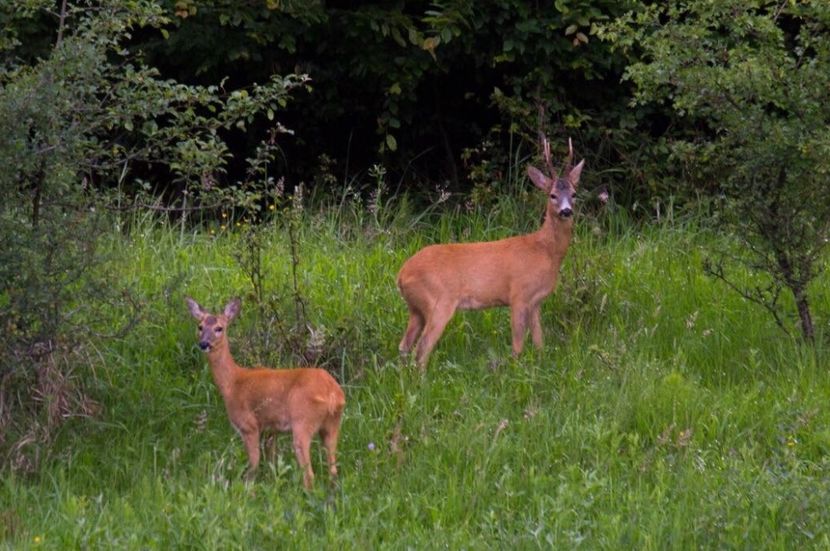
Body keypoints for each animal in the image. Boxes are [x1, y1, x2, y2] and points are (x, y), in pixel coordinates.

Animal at [187, 298, 346, 488]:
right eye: (200, 326)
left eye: (219, 328)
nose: (204, 344)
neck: (232, 383)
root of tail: (333, 393)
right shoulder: (271, 429)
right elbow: (271, 463)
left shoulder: (248, 425)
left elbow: (254, 465)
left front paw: (247, 489)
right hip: (332, 424)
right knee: (333, 471)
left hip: (303, 421)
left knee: (309, 475)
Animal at [396, 134, 584, 368]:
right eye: (552, 195)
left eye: (574, 194)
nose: (566, 211)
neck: (544, 250)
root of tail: (401, 275)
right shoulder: (518, 294)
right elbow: (517, 345)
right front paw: (516, 369)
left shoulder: (535, 302)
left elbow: (540, 342)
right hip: (438, 301)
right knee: (421, 349)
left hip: (416, 309)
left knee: (404, 346)